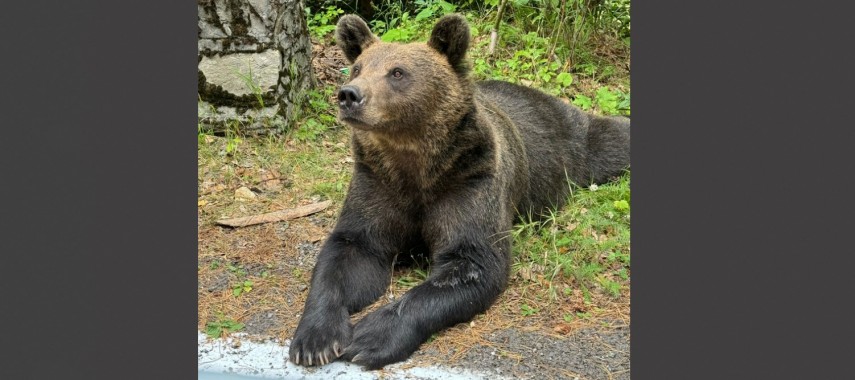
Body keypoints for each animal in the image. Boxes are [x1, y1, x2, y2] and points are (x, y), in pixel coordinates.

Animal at [288, 14, 628, 368]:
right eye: (357, 68)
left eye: (397, 72)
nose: (349, 95)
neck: (414, 165)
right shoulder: (377, 184)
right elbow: (350, 251)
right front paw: (315, 339)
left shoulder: (470, 182)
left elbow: (471, 263)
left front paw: (371, 336)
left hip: (573, 142)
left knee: (609, 138)